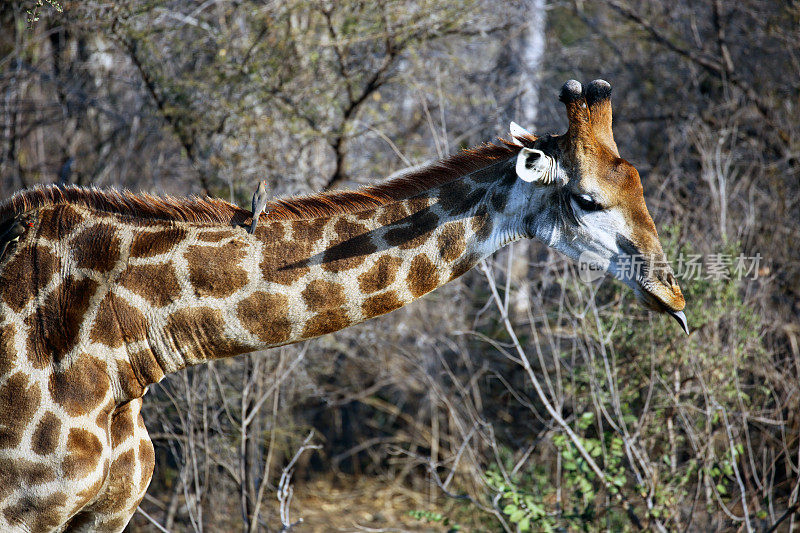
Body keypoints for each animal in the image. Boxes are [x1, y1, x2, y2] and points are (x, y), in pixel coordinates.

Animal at [0, 80, 684, 532]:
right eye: (589, 199)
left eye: (640, 183)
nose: (673, 297)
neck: (125, 340)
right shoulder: (28, 511)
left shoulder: (107, 513)